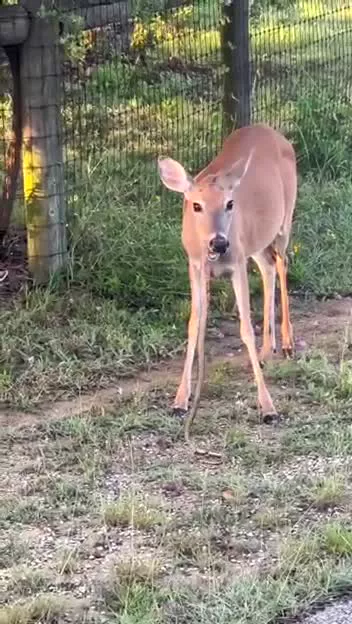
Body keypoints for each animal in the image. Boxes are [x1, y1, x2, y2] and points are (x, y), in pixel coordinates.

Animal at [157, 123, 296, 444]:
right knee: (269, 266)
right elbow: (194, 325)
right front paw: (180, 401)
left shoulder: (237, 263)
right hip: (256, 242)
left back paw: (286, 342)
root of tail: (273, 131)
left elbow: (245, 327)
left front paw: (268, 408)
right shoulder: (195, 266)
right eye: (195, 205)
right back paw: (266, 351)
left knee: (282, 263)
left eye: (230, 203)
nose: (219, 242)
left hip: (285, 219)